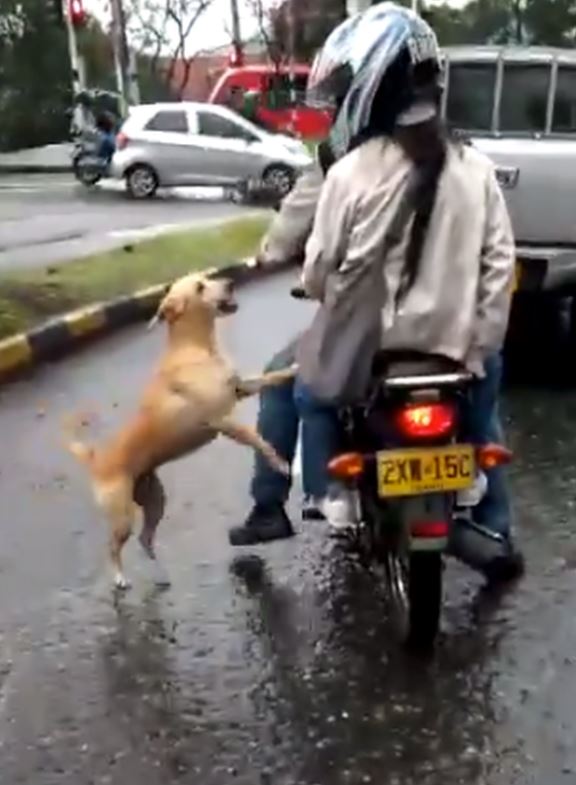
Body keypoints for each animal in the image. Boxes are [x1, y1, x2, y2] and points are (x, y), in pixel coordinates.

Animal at [65, 274, 294, 588]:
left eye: (208, 278)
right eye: (200, 287)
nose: (230, 281)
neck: (198, 349)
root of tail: (96, 460)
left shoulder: (242, 388)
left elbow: (273, 377)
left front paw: (296, 367)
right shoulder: (223, 421)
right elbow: (259, 440)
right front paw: (280, 463)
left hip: (155, 502)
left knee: (145, 539)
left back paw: (161, 575)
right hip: (122, 516)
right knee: (113, 547)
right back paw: (120, 578)